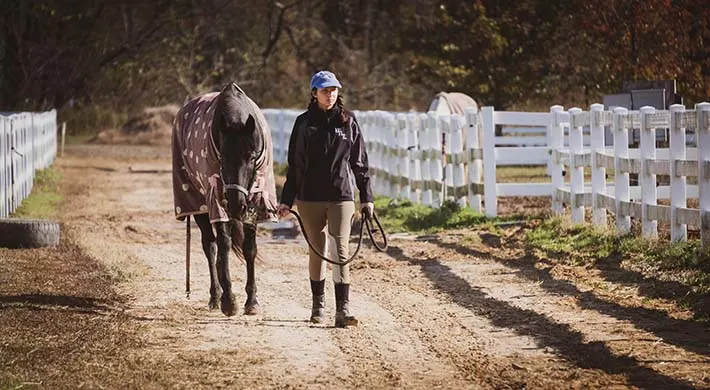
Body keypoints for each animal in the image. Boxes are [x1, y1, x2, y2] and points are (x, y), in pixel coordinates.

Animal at [172, 83, 278, 316]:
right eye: (222, 157)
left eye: (252, 156)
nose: (236, 203)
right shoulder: (216, 201)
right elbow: (224, 244)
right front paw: (229, 301)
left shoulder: (255, 201)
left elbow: (249, 249)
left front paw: (252, 301)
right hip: (199, 203)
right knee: (211, 246)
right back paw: (215, 296)